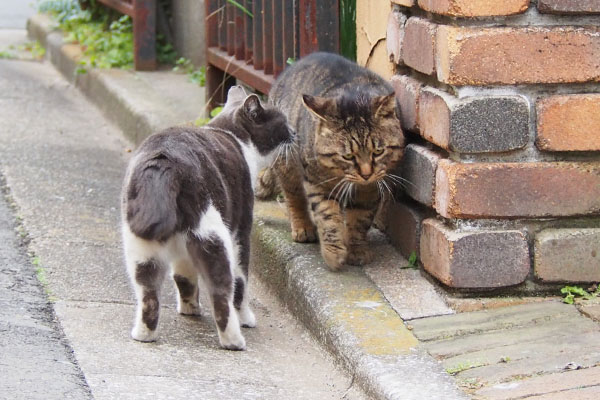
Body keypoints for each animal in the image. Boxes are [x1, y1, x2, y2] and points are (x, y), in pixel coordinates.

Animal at [121, 86, 296, 348]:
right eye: (283, 122)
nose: (295, 132)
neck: (232, 135)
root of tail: (166, 162)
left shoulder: (182, 252)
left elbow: (183, 275)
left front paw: (189, 308)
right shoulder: (242, 230)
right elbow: (241, 281)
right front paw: (246, 318)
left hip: (140, 245)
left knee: (148, 292)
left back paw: (143, 334)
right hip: (214, 235)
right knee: (222, 289)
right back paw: (234, 340)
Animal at [268, 52, 406, 272]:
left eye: (378, 151)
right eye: (347, 156)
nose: (366, 173)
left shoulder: (369, 191)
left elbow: (359, 220)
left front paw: (357, 250)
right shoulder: (317, 184)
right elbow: (327, 217)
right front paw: (333, 253)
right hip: (287, 164)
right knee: (293, 197)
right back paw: (302, 227)